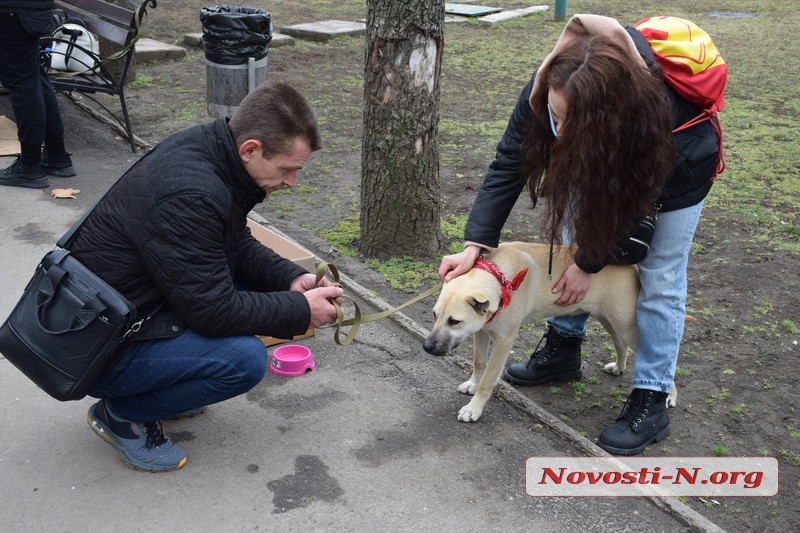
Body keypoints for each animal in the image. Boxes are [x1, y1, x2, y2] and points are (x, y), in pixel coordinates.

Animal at [422, 241, 680, 420]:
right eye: (434, 315)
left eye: (454, 321)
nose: (426, 347)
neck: (499, 279)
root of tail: (630, 266)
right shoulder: (482, 331)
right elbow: (478, 363)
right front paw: (472, 384)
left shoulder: (504, 341)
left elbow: (488, 379)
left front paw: (474, 407)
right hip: (608, 320)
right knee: (620, 344)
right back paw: (619, 367)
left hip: (627, 325)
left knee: (661, 358)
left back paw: (670, 395)